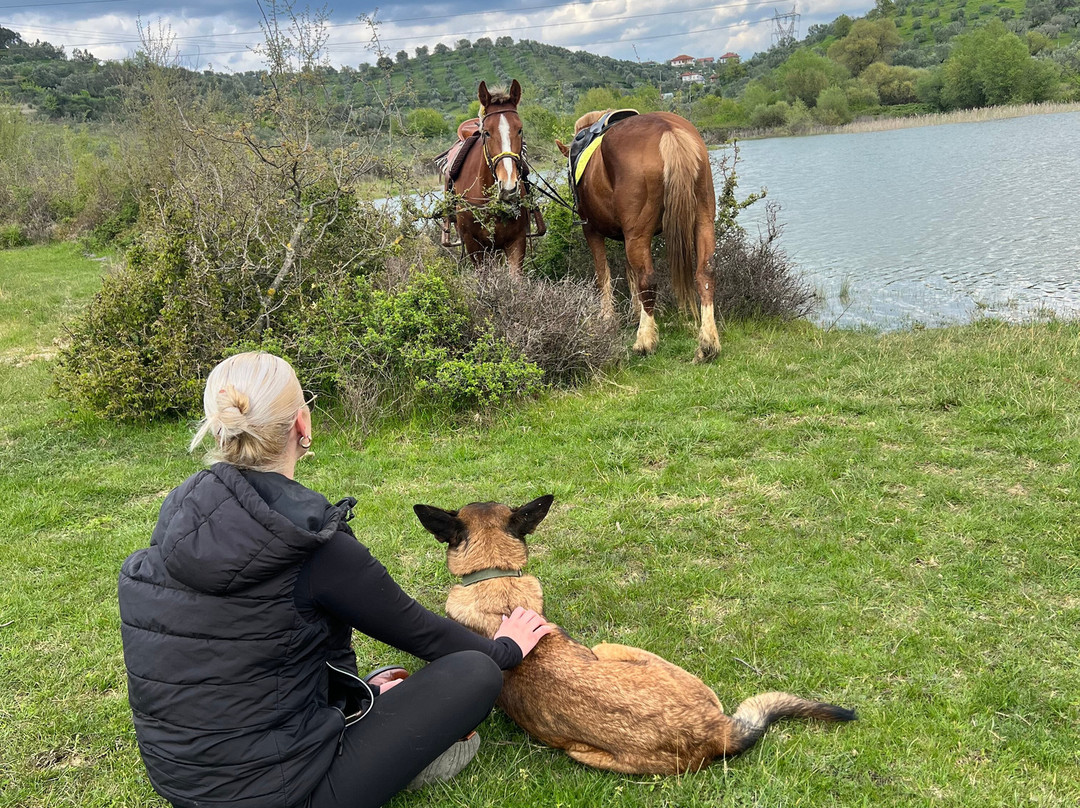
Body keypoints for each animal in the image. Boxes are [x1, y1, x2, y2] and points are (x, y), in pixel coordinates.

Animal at [556, 111, 720, 362]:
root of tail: (667, 130)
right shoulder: (627, 236)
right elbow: (629, 273)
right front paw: (634, 313)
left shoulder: (592, 231)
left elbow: (603, 273)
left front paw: (608, 317)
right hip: (703, 221)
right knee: (705, 273)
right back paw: (708, 343)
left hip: (638, 234)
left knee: (648, 280)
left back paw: (645, 341)